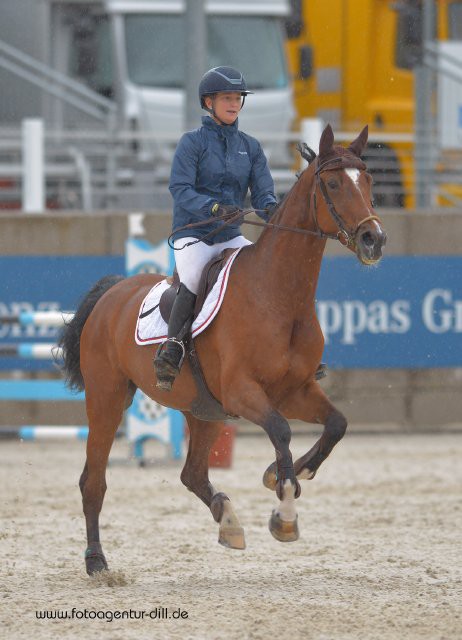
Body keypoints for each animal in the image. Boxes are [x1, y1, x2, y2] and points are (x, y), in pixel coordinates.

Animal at [59, 125, 388, 576]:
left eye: (369, 181)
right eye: (334, 184)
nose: (374, 239)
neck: (279, 297)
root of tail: (113, 292)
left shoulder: (295, 391)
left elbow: (336, 424)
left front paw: (281, 476)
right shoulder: (242, 392)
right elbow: (281, 431)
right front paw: (285, 511)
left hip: (204, 410)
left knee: (193, 474)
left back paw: (228, 521)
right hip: (107, 398)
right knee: (93, 480)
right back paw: (97, 562)